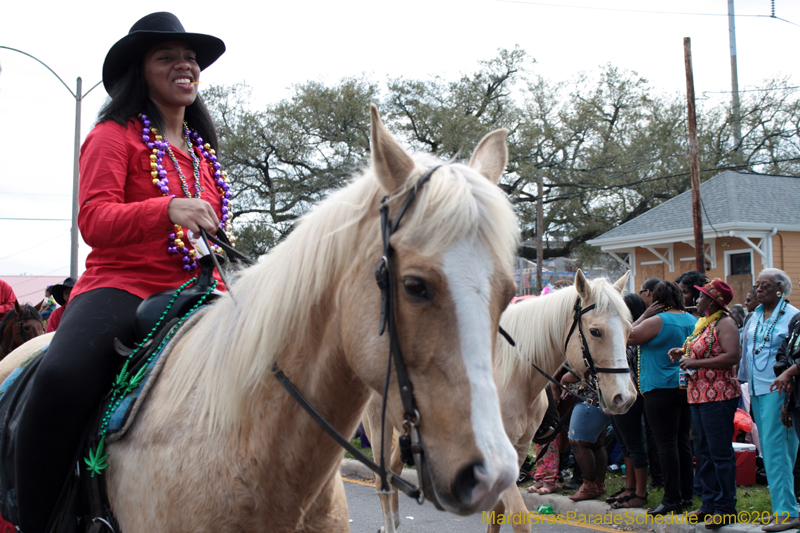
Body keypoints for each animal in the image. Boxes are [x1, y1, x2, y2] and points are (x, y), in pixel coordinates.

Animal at [364, 272, 636, 528]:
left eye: (629, 330)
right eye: (595, 331)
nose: (624, 397)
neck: (513, 376)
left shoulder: (519, 449)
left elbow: (498, 512)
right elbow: (518, 516)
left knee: (393, 472)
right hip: (379, 424)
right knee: (381, 479)